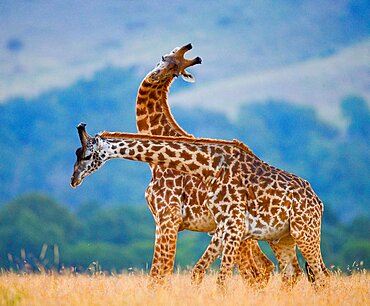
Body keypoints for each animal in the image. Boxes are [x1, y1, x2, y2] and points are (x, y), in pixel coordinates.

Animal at [71, 123, 328, 288]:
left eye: (86, 156)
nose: (74, 180)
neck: (211, 166)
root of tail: (318, 201)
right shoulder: (223, 228)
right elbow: (197, 272)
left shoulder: (233, 227)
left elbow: (221, 280)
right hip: (282, 238)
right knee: (293, 274)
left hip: (305, 232)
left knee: (321, 275)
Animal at [136, 42, 274, 284]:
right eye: (164, 57)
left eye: (170, 65)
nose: (156, 76)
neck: (154, 164)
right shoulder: (161, 220)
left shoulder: (168, 217)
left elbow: (160, 272)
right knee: (264, 268)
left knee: (256, 272)